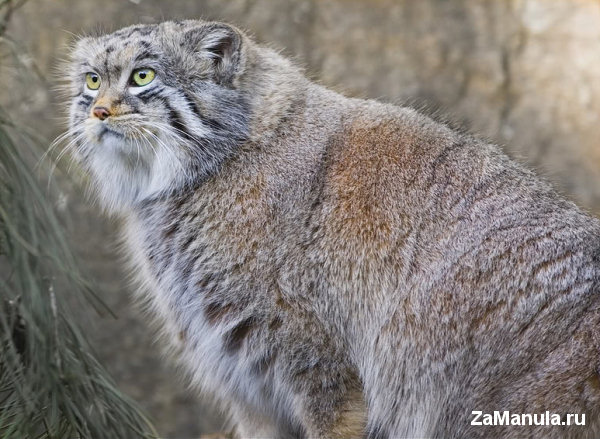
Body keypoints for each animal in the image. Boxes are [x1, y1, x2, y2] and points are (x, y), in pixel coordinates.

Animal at [66, 20, 600, 438]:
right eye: (92, 81)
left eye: (142, 76)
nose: (97, 111)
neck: (207, 169)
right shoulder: (246, 382)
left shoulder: (319, 361)